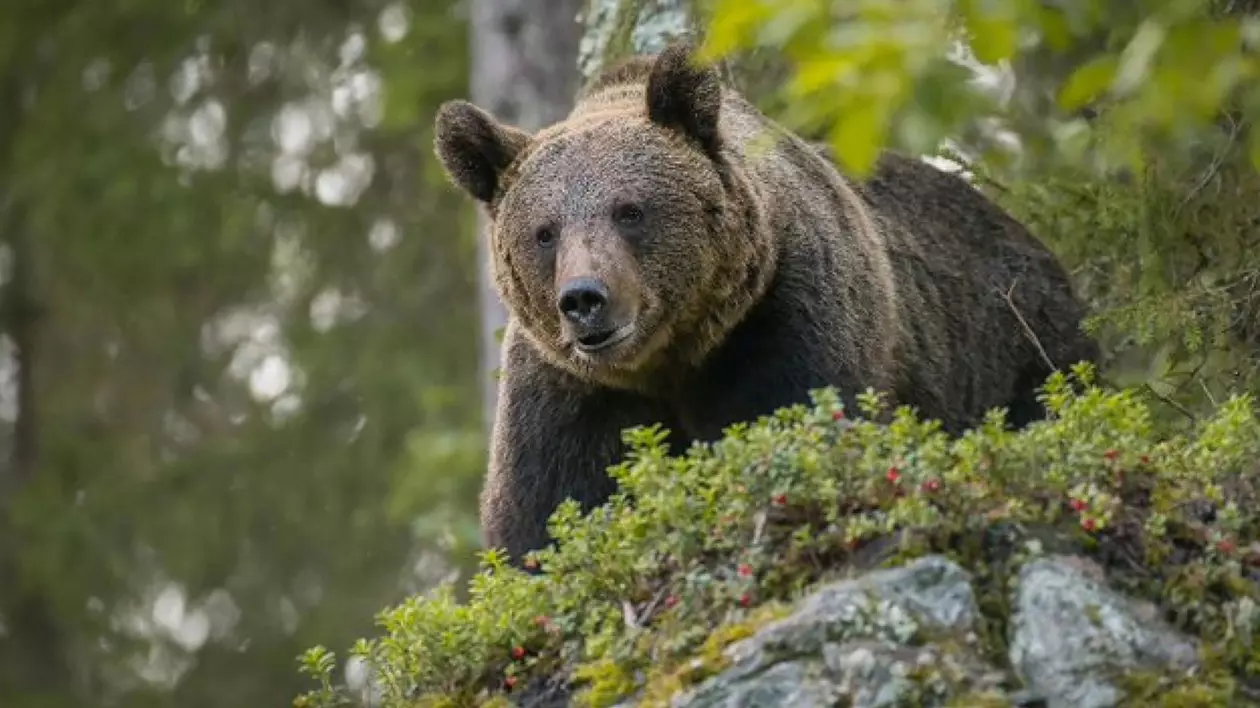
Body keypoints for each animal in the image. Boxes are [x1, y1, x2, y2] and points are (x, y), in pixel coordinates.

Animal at [435, 42, 1103, 561]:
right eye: (544, 231)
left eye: (630, 210)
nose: (584, 300)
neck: (672, 358)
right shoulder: (569, 390)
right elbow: (546, 516)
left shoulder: (787, 317)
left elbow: (795, 424)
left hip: (1023, 350)